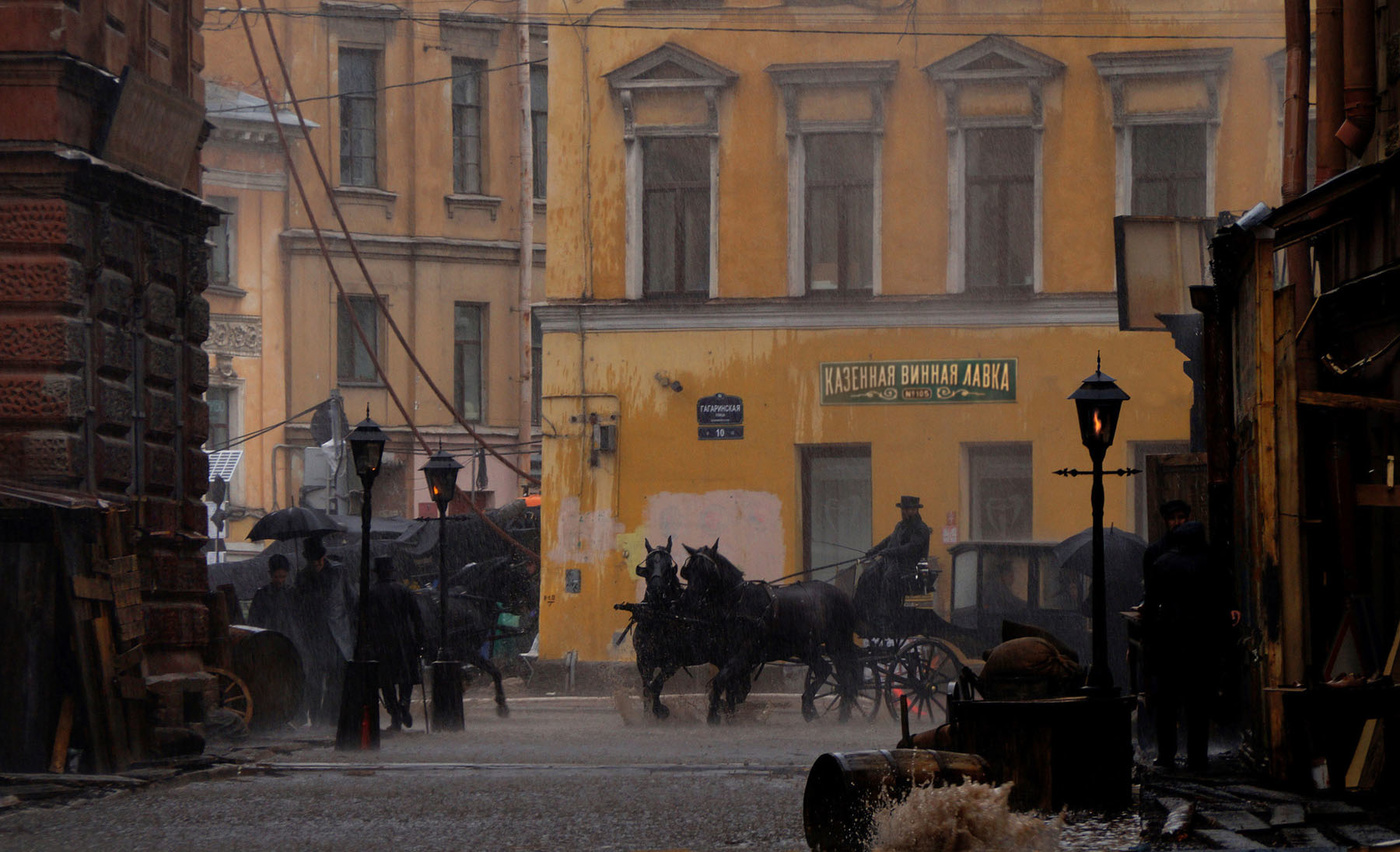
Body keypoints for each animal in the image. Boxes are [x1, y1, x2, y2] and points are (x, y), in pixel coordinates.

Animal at [414, 554, 534, 713]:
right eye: (519, 577)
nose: (532, 603)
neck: (470, 599)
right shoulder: (464, 650)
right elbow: (493, 670)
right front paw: (501, 703)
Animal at [680, 542, 862, 721]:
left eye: (707, 570)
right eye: (688, 571)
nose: (689, 600)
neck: (739, 602)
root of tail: (844, 595)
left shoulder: (744, 653)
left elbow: (722, 682)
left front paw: (714, 715)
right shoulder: (727, 656)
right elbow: (732, 687)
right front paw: (726, 711)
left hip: (837, 644)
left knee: (845, 677)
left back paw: (834, 711)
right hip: (807, 648)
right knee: (826, 670)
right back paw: (813, 708)